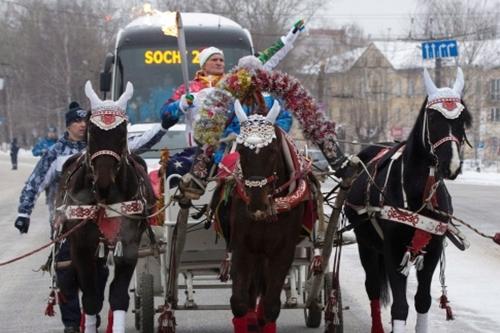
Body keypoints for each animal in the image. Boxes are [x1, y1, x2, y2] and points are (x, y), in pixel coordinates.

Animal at [56, 81, 155, 332]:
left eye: (122, 132)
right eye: (92, 129)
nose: (103, 180)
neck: (105, 199)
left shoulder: (129, 243)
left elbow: (118, 296)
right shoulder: (81, 247)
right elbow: (91, 299)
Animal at [226, 99, 314, 332]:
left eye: (273, 150)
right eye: (240, 150)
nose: (258, 203)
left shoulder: (282, 251)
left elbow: (271, 305)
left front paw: (263, 319)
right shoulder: (243, 247)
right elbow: (239, 302)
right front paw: (247, 319)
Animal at [344, 67, 472, 332]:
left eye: (462, 120)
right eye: (432, 119)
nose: (452, 165)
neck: (419, 195)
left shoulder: (432, 250)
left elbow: (422, 301)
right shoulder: (393, 249)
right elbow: (400, 307)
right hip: (366, 245)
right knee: (372, 287)